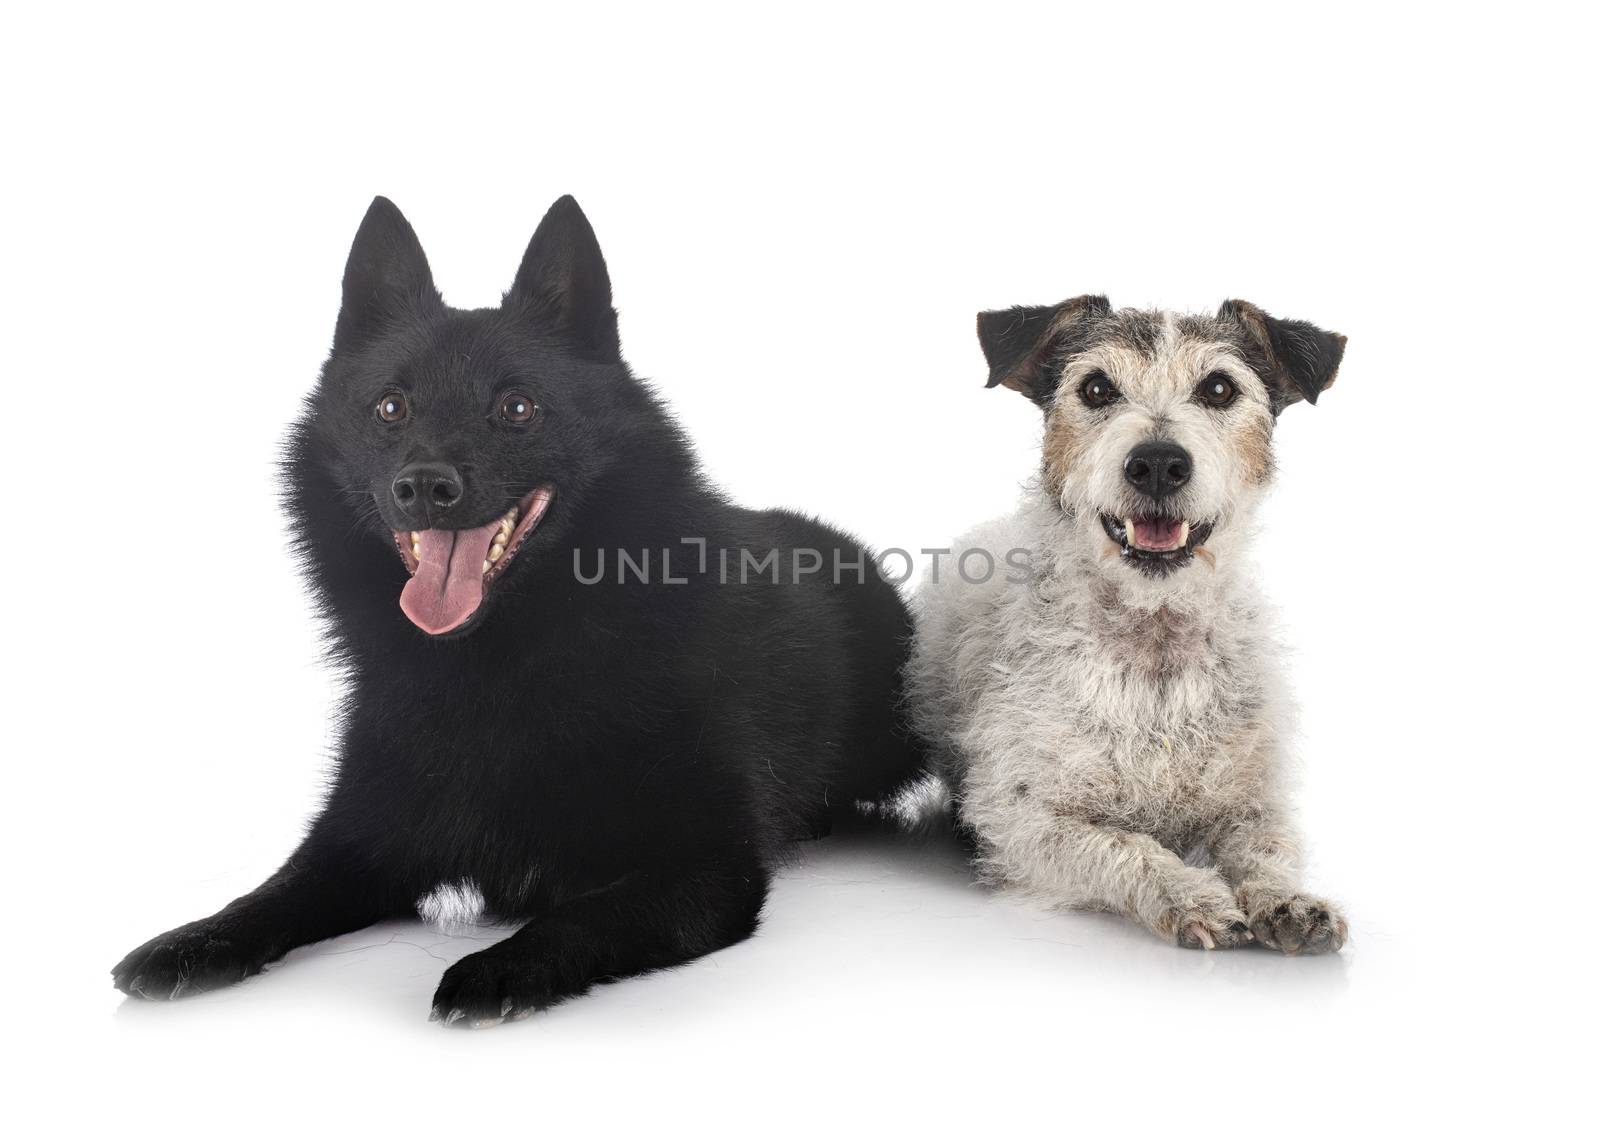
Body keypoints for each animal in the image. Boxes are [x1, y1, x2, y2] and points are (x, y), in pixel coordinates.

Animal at [112, 194, 928, 1024]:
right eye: (391, 406)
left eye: (516, 406)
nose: (424, 485)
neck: (495, 665)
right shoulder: (359, 839)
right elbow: (274, 893)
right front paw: (193, 940)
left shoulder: (703, 866)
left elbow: (579, 916)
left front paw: (499, 967)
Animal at [908, 292, 1344, 947]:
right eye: (1096, 388)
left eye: (1219, 388)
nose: (1158, 463)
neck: (1152, 643)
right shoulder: (1023, 818)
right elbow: (1124, 845)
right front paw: (1192, 895)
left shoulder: (1251, 801)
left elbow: (1266, 847)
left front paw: (1286, 899)